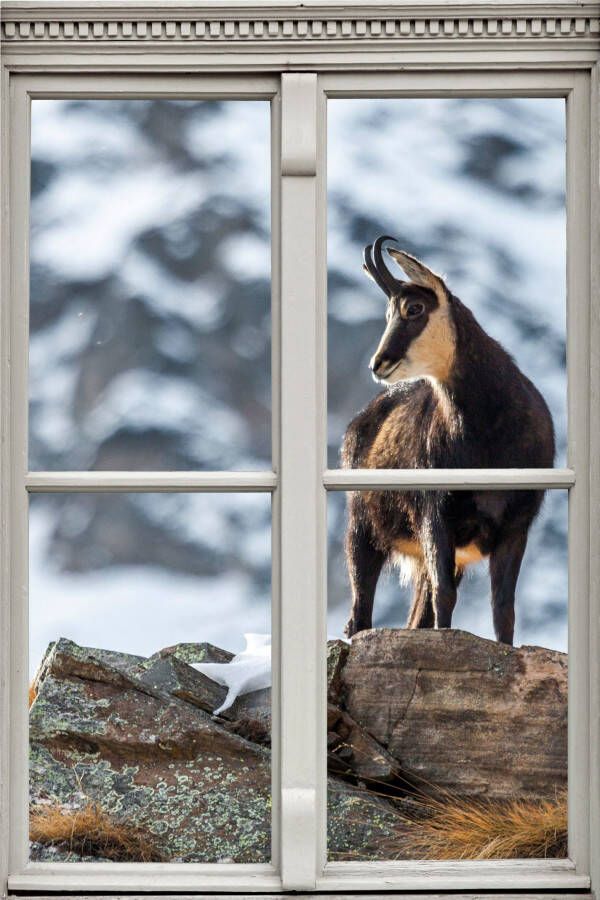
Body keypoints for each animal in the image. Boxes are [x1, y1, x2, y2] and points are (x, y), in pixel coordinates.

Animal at [342, 236, 552, 644]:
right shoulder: (436, 514)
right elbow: (445, 595)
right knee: (361, 606)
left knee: (414, 615)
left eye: (414, 308)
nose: (379, 363)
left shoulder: (516, 524)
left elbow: (503, 607)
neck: (488, 438)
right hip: (364, 525)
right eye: (387, 314)